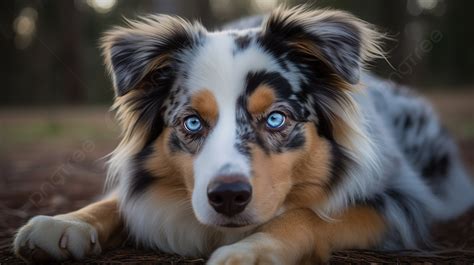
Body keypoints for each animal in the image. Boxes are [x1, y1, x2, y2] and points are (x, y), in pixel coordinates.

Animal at [12, 5, 474, 262]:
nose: (228, 196)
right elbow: (114, 201)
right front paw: (63, 223)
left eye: (276, 119)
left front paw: (249, 251)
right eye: (192, 123)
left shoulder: (399, 201)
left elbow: (306, 214)